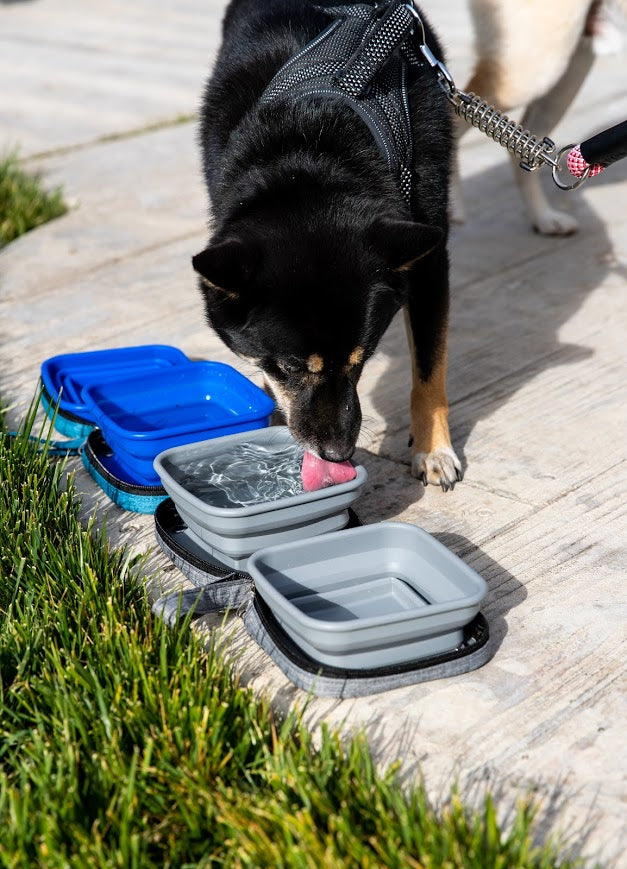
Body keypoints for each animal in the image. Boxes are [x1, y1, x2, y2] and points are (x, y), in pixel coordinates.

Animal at [194, 0, 464, 488]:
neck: (313, 142)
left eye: (363, 358)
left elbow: (430, 369)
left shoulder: (430, 260)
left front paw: (434, 449)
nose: (338, 454)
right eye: (290, 367)